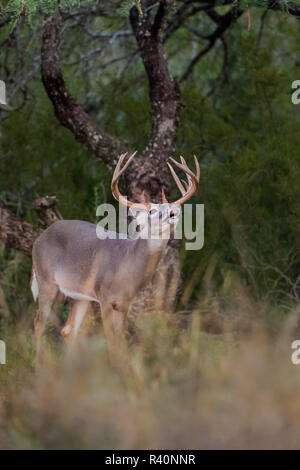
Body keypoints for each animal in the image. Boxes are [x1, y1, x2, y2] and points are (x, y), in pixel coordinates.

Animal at [31, 152, 199, 362]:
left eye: (169, 206)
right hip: (46, 280)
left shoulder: (125, 303)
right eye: (152, 210)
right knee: (39, 324)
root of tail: (39, 238)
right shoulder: (104, 297)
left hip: (79, 295)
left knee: (68, 330)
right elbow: (111, 343)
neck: (126, 264)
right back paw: (38, 365)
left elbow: (119, 342)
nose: (173, 212)